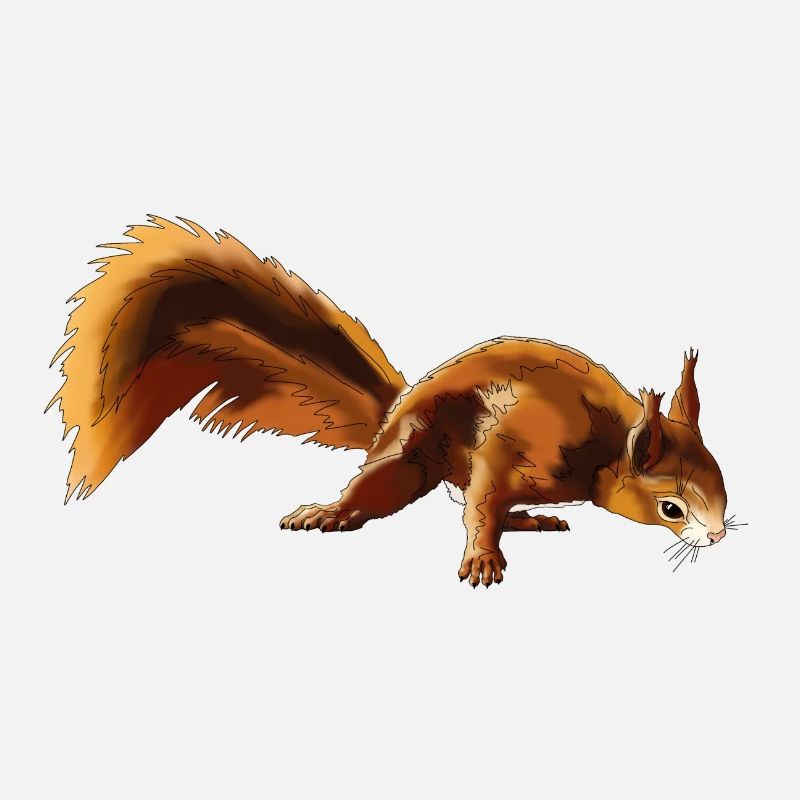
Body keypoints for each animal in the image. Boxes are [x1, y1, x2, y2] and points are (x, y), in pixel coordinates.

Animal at [50, 216, 731, 586]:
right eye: (671, 508)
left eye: (723, 482)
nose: (720, 536)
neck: (605, 443)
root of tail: (393, 414)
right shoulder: (512, 444)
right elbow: (483, 501)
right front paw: (482, 558)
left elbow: (482, 503)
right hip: (410, 454)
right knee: (390, 490)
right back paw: (331, 512)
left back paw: (531, 520)